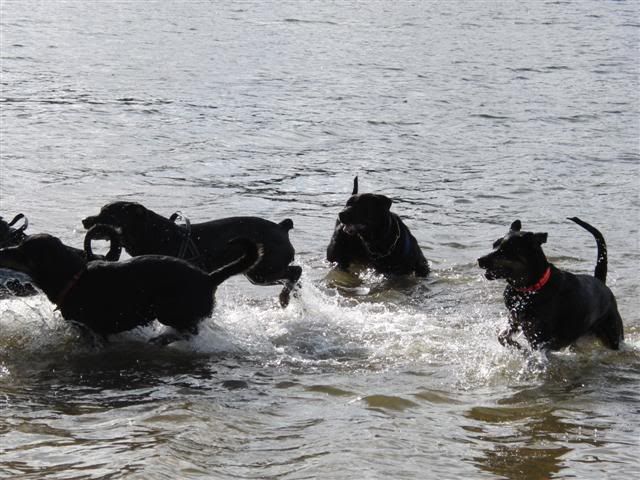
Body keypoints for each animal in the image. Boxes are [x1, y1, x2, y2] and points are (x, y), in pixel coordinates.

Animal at [0, 225, 262, 342]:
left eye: (22, 252)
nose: (2, 251)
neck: (73, 277)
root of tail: (209, 278)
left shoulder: (94, 331)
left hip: (170, 311)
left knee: (189, 332)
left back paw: (162, 339)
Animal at [84, 201, 302, 306]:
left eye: (108, 214)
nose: (85, 220)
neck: (155, 234)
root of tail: (282, 227)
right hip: (260, 271)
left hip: (262, 270)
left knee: (295, 271)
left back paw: (284, 297)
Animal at [478, 219, 624, 350]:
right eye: (494, 245)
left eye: (505, 250)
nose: (480, 259)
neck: (529, 289)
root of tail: (600, 282)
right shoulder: (514, 319)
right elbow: (502, 337)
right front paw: (518, 347)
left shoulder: (539, 338)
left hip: (613, 332)